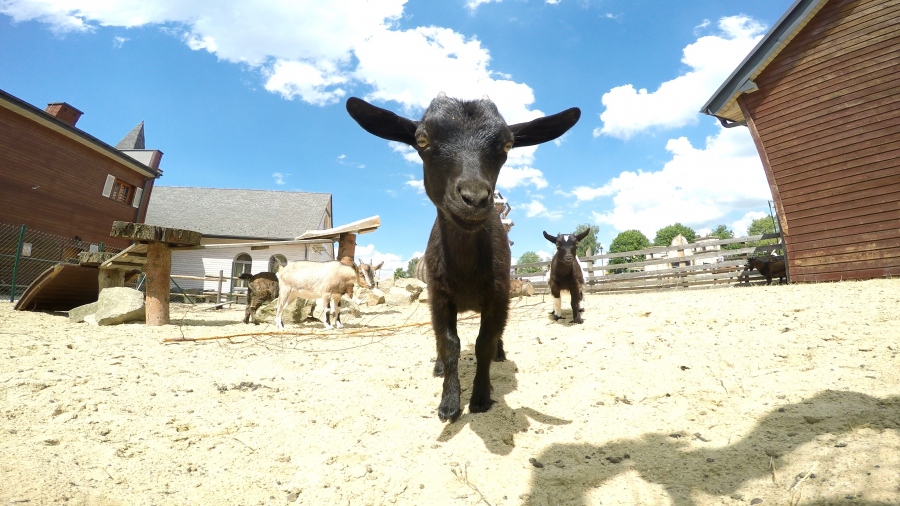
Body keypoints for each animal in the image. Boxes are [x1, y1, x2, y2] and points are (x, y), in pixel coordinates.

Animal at [348, 92, 580, 422]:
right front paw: (449, 403)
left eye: (507, 145)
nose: (474, 198)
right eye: (421, 139)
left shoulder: (498, 296)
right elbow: (449, 344)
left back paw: (500, 354)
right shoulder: (439, 297)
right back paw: (438, 367)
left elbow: (483, 344)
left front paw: (481, 397)